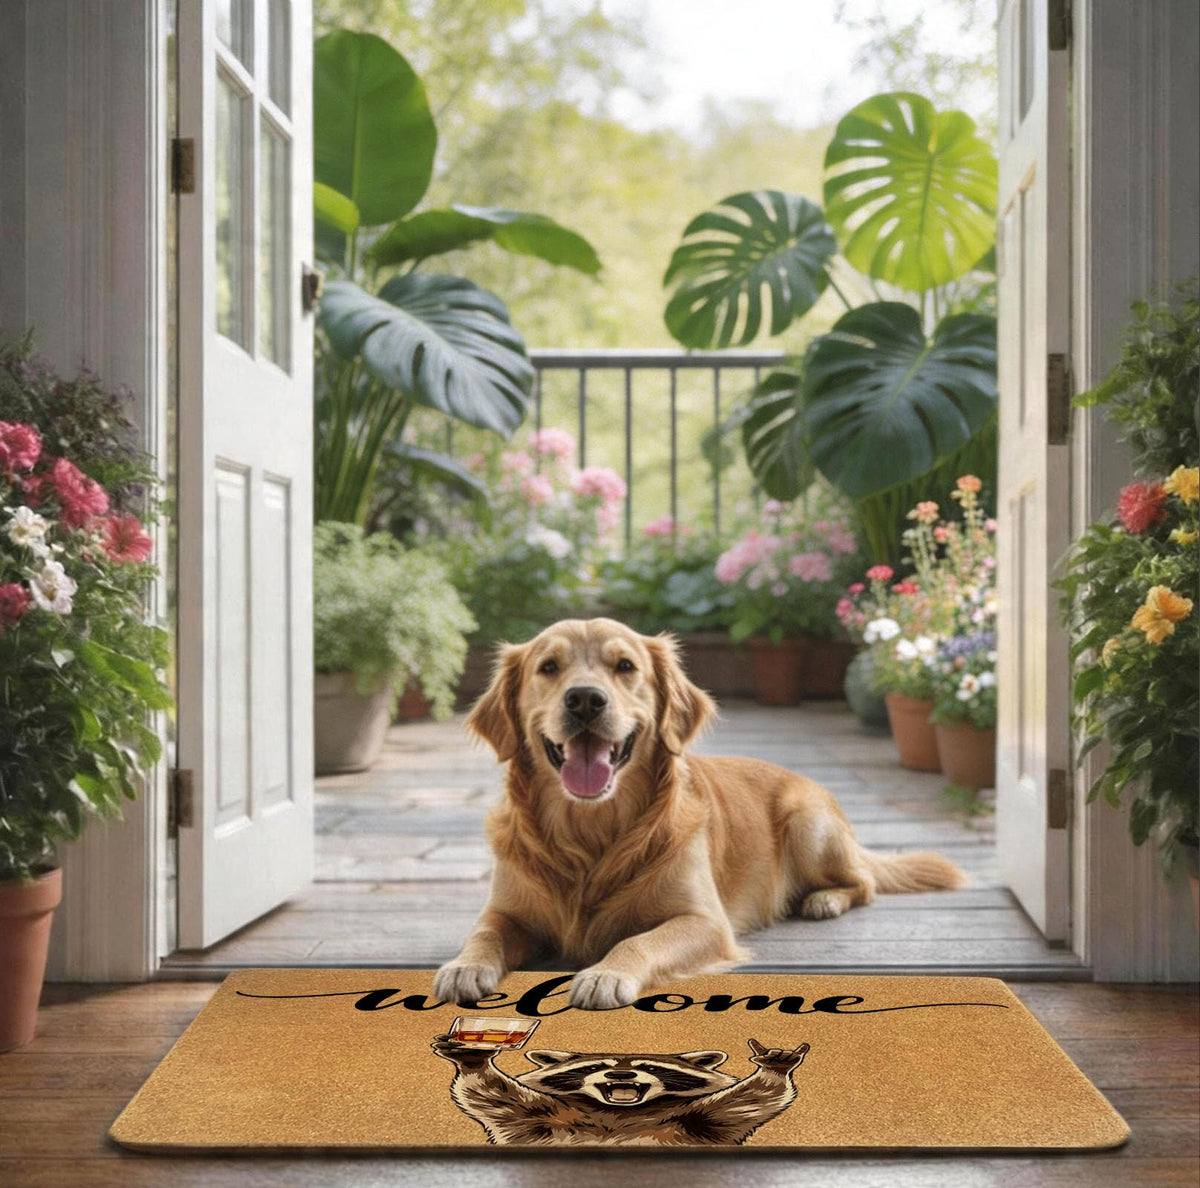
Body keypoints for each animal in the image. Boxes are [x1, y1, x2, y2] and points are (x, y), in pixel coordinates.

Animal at [430, 1034, 809, 1146]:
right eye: (594, 1067)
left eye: (652, 1067)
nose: (622, 1073)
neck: (619, 1114)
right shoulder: (539, 1118)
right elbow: (491, 1094)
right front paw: (474, 1058)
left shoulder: (701, 1120)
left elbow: (751, 1099)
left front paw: (773, 1068)